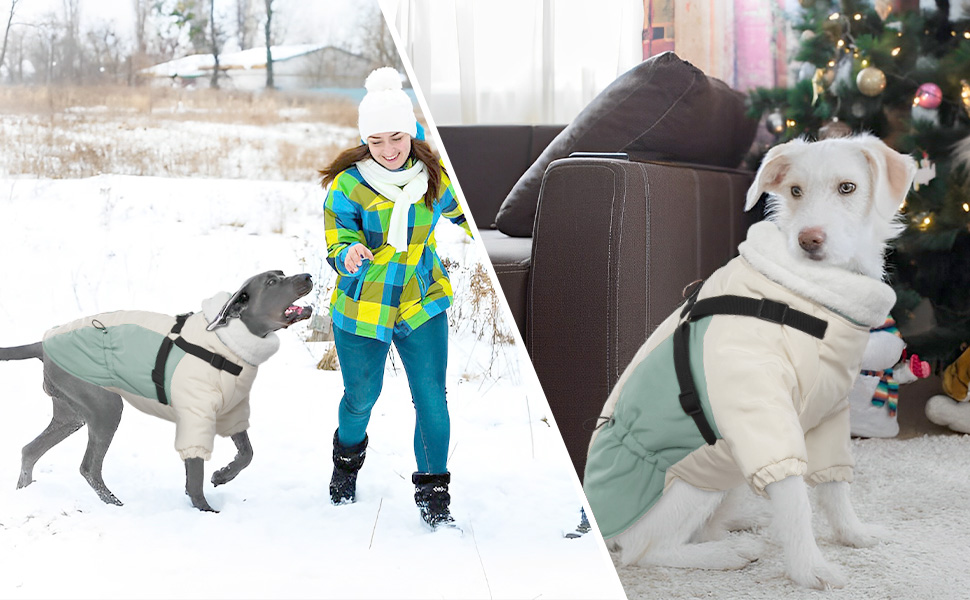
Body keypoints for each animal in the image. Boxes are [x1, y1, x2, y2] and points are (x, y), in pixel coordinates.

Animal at [0, 270, 312, 510]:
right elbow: (196, 474)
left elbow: (247, 454)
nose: (307, 276)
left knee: (30, 450)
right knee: (88, 467)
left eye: (282, 273)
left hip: (71, 413)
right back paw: (114, 504)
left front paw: (222, 476)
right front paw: (205, 511)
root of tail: (43, 343)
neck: (225, 344)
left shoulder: (231, 411)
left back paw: (25, 490)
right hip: (105, 407)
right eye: (271, 282)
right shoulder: (195, 418)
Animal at [584, 134, 916, 588]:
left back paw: (738, 526)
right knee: (647, 551)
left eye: (847, 187)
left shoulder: (830, 413)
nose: (809, 239)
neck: (808, 295)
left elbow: (834, 485)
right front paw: (810, 570)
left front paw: (854, 534)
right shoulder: (762, 415)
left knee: (704, 527)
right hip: (694, 480)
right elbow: (795, 499)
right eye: (795, 191)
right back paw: (725, 553)